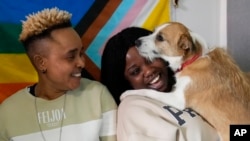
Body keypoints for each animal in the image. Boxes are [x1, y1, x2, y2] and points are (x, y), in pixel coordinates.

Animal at [122, 21, 250, 140]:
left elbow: (148, 91)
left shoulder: (177, 100)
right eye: (152, 32)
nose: (136, 41)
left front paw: (127, 93)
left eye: (160, 38)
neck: (193, 60)